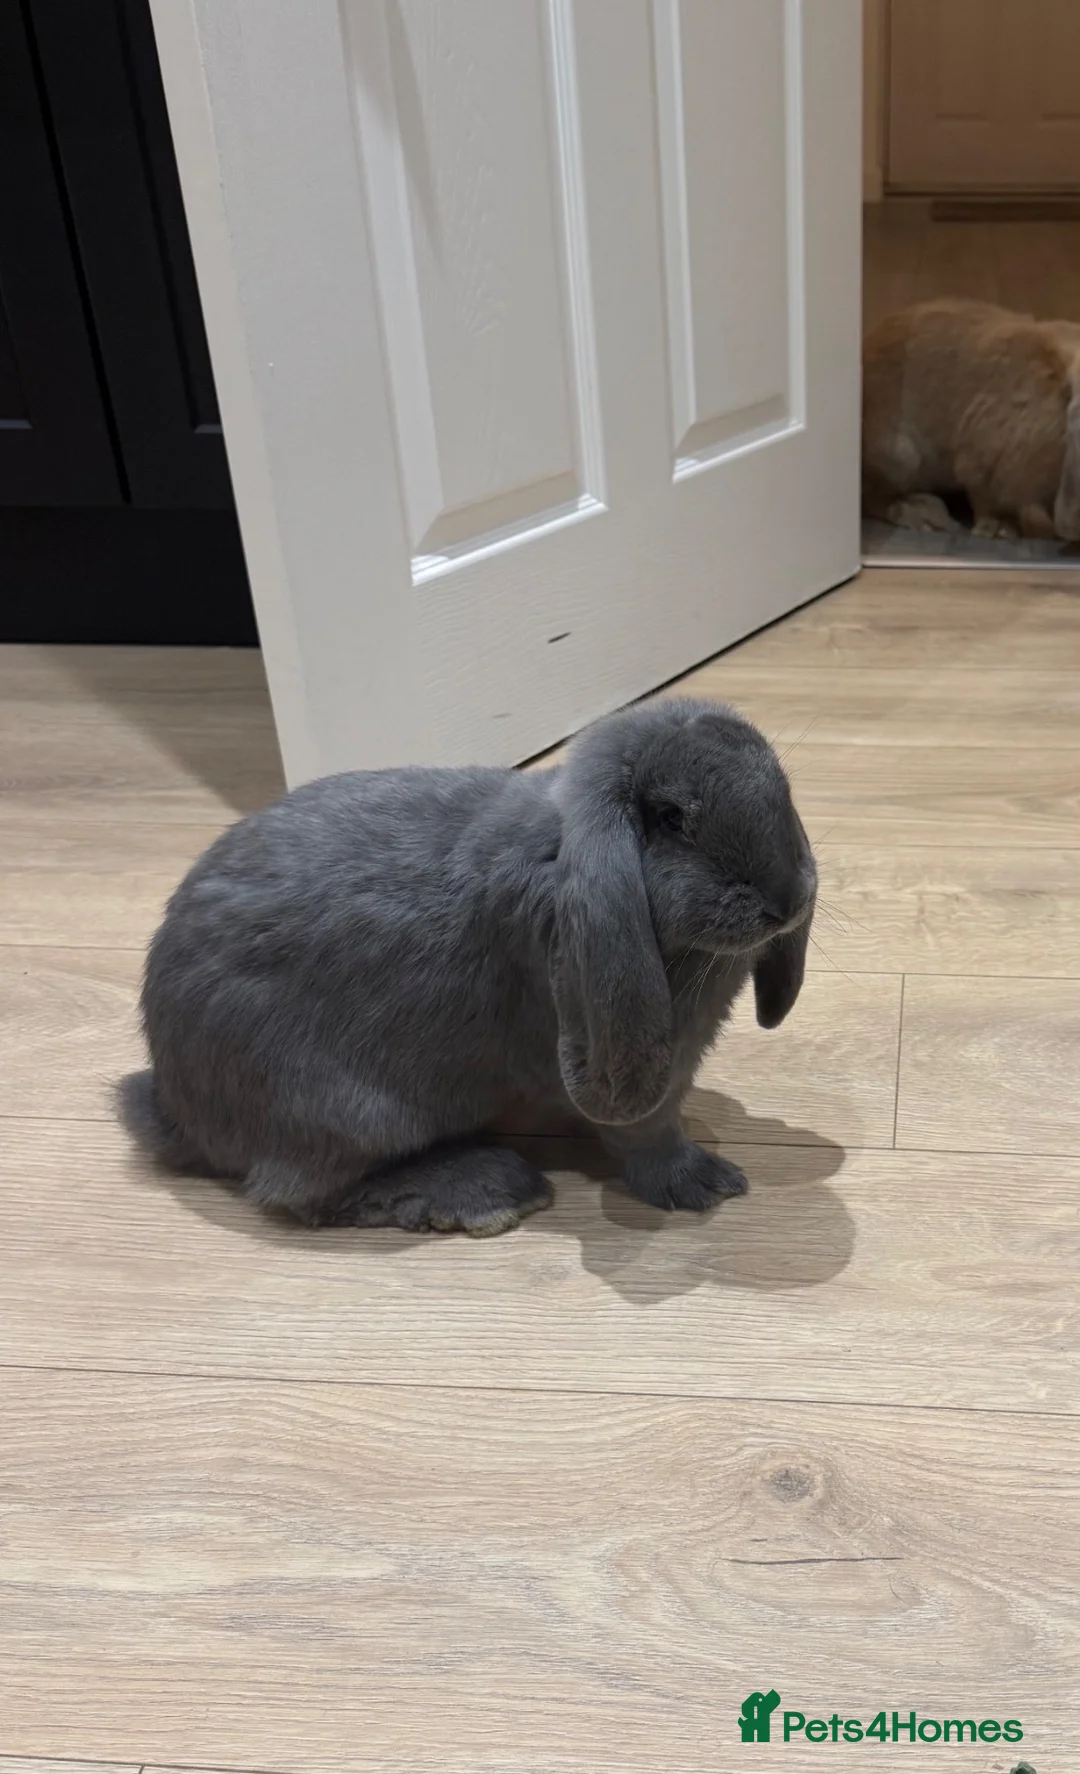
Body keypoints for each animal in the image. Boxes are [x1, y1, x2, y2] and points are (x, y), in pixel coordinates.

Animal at [118, 697, 817, 1237]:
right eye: (670, 819)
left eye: (781, 791)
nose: (786, 901)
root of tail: (177, 1110)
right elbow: (647, 1136)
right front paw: (705, 1184)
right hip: (345, 1113)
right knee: (301, 1195)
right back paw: (486, 1192)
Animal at [862, 297, 1080, 542]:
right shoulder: (981, 462)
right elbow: (985, 500)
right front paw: (999, 529)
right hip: (900, 458)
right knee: (871, 495)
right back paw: (927, 516)